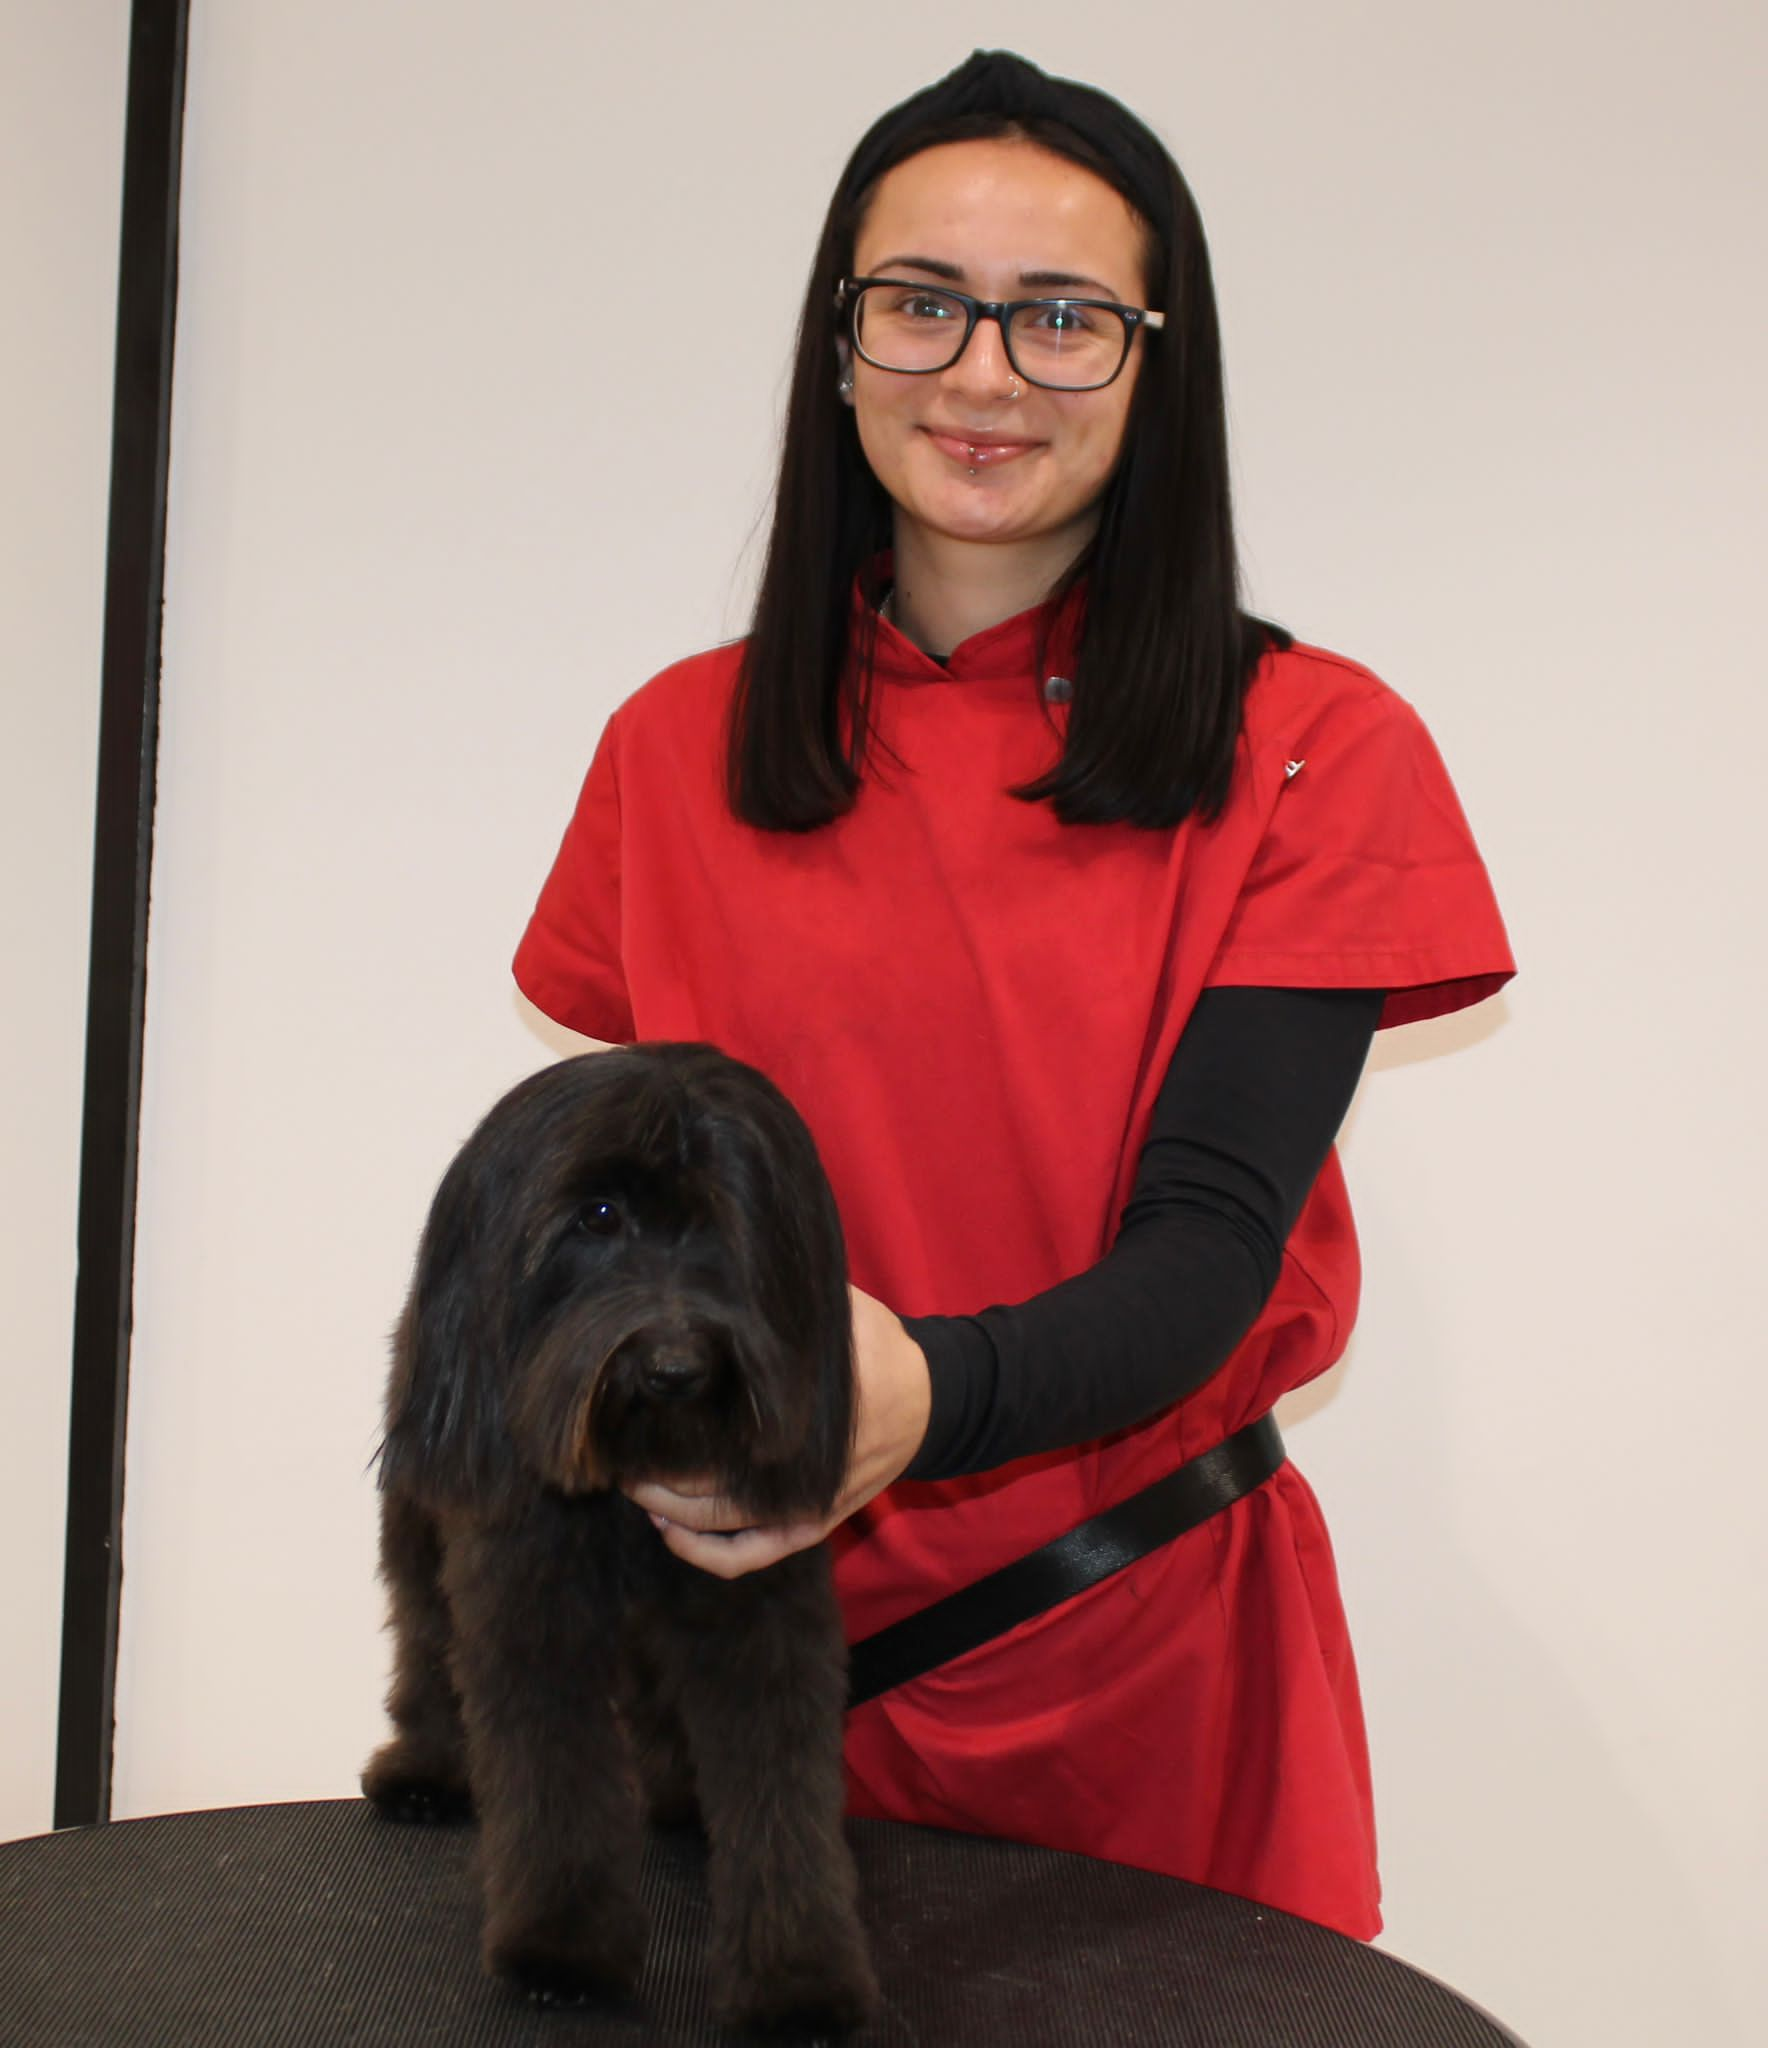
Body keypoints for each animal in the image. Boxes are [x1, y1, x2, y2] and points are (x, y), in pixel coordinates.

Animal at [362, 1048, 880, 2039]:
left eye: (727, 1214)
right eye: (597, 1217)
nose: (676, 1366)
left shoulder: (762, 1617)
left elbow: (782, 1802)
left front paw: (797, 1977)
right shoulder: (533, 1614)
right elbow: (554, 1787)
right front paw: (557, 1949)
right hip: (421, 1528)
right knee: (425, 1645)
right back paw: (424, 1769)